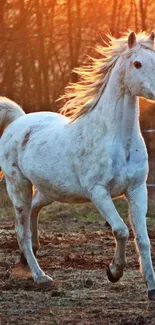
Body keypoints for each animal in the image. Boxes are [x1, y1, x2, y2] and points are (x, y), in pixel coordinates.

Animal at [0, 32, 155, 298]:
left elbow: (143, 239)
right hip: (18, 187)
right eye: (137, 64)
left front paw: (152, 287)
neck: (115, 138)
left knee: (34, 211)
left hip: (49, 190)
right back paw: (41, 276)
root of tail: (19, 121)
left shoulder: (137, 189)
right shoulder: (98, 192)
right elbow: (121, 230)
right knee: (22, 231)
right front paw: (114, 272)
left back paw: (28, 258)